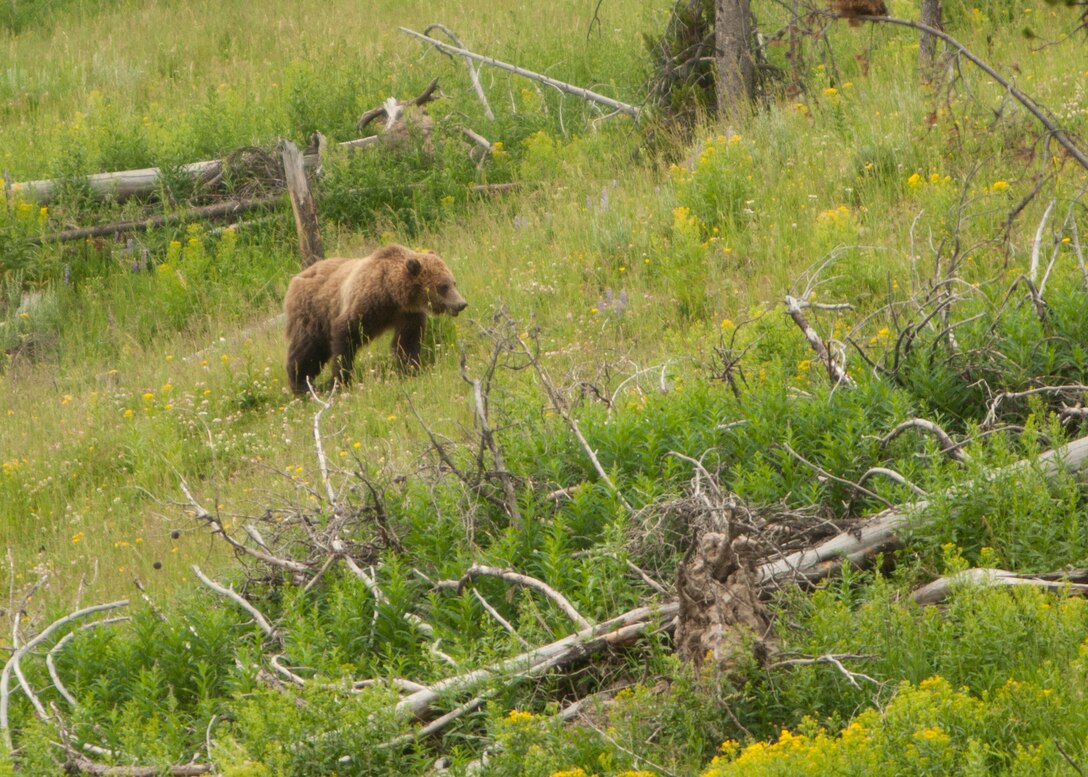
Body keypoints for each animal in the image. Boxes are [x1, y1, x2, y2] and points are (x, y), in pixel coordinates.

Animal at [284, 244, 467, 394]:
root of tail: (296, 278)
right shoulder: (364, 304)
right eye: (443, 286)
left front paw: (410, 369)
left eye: (453, 282)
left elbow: (406, 342)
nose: (461, 304)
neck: (391, 294)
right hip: (314, 313)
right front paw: (341, 381)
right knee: (308, 348)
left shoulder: (407, 314)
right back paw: (301, 385)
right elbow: (346, 336)